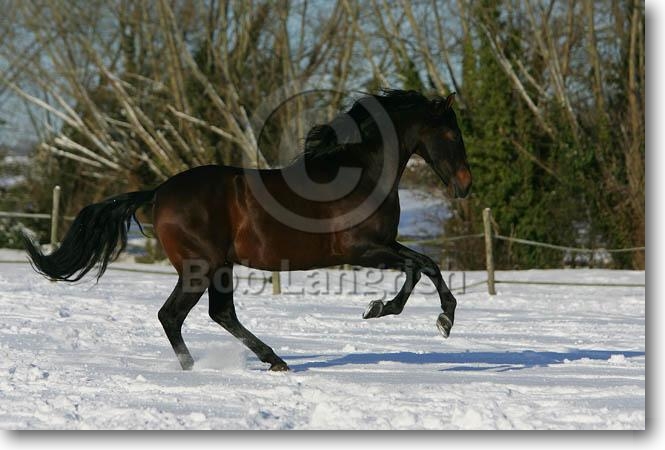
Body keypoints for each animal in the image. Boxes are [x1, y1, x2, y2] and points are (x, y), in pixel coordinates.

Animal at [24, 89, 472, 372]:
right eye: (451, 133)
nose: (465, 186)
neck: (363, 174)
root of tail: (159, 193)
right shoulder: (362, 249)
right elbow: (423, 266)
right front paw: (423, 317)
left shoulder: (382, 245)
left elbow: (422, 266)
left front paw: (402, 312)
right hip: (200, 266)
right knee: (172, 315)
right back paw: (197, 369)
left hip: (221, 267)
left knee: (219, 313)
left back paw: (274, 360)